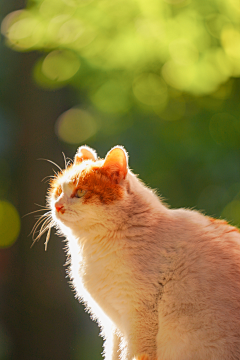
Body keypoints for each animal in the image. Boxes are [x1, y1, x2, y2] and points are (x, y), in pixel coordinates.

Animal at [44, 146, 240, 360]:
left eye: (80, 192)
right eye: (58, 191)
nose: (57, 206)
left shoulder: (139, 317)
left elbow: (133, 354)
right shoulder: (113, 326)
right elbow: (113, 353)